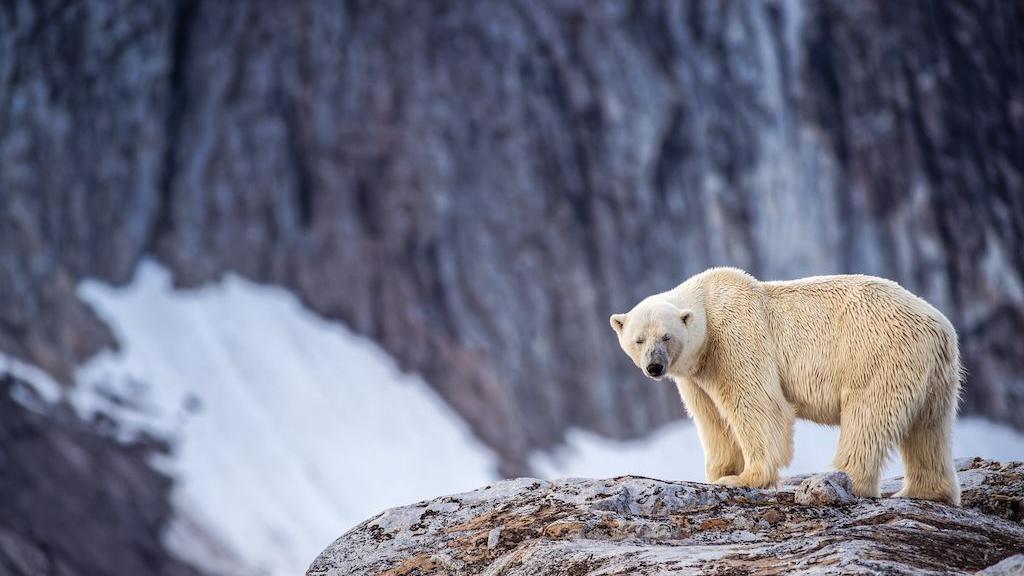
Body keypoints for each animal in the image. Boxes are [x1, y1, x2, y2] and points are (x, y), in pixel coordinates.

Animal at [609, 267, 961, 505]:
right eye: (638, 339)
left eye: (666, 337)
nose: (655, 367)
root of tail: (940, 327)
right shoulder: (696, 373)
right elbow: (711, 419)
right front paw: (719, 473)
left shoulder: (736, 335)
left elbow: (758, 404)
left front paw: (743, 478)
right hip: (935, 373)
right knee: (929, 428)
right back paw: (925, 491)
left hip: (877, 351)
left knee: (868, 415)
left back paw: (840, 480)